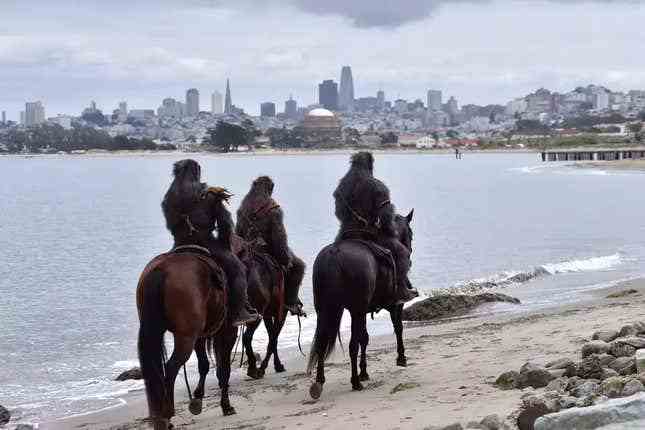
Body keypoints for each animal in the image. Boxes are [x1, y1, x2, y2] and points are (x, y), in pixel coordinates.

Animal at [136, 250, 236, 428]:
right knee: (170, 368)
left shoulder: (200, 336)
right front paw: (226, 406)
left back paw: (161, 418)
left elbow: (204, 364)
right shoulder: (227, 332)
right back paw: (167, 414)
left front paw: (197, 398)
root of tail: (161, 270)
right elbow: (224, 369)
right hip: (186, 337)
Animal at [306, 212, 412, 400]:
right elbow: (397, 328)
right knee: (352, 346)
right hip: (356, 311)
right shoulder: (392, 307)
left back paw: (319, 383)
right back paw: (355, 382)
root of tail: (334, 255)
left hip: (326, 311)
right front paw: (401, 358)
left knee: (322, 343)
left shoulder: (362, 311)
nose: (409, 250)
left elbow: (365, 337)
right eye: (410, 234)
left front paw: (364, 372)